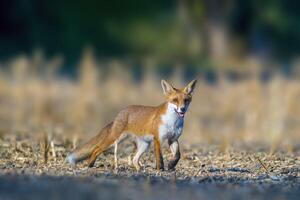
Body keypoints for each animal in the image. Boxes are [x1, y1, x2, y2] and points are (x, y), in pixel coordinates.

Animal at [68, 79, 197, 170]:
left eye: (186, 100)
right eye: (175, 100)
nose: (182, 109)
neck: (172, 122)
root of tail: (120, 113)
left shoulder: (173, 139)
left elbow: (178, 155)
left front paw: (171, 165)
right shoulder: (158, 139)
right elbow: (160, 158)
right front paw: (160, 170)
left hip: (144, 145)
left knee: (135, 159)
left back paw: (140, 170)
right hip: (114, 140)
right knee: (96, 149)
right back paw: (90, 165)